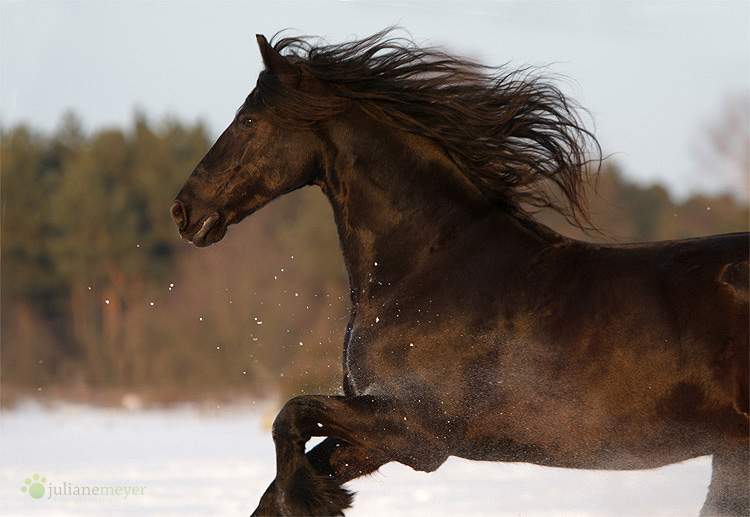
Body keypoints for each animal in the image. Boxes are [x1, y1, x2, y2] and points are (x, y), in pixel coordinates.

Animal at [172, 30, 750, 512]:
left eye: (248, 120)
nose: (184, 211)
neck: (428, 266)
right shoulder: (380, 436)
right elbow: (283, 479)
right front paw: (321, 496)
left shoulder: (415, 431)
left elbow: (289, 415)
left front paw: (311, 499)